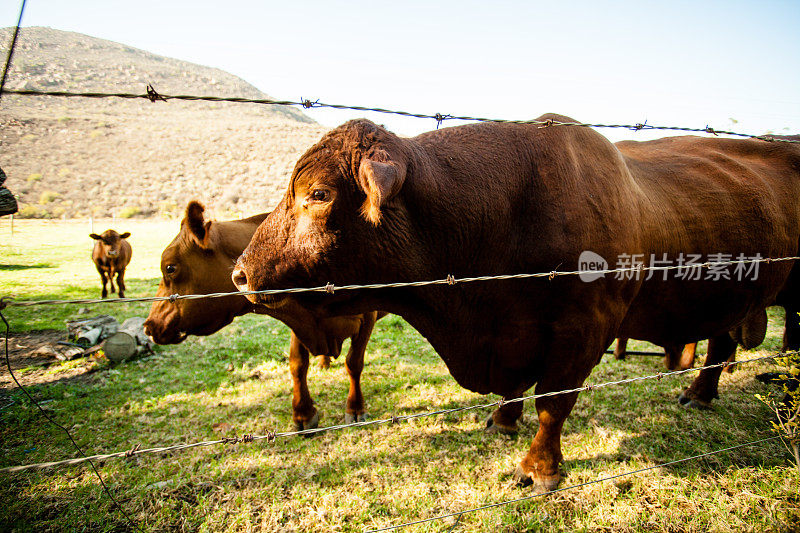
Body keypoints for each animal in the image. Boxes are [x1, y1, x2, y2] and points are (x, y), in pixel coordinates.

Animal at [143, 202, 382, 430]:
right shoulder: (300, 321)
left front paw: (355, 408)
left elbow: (353, 363)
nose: (148, 326)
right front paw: (303, 413)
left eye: (170, 268)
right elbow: (297, 364)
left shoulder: (367, 316)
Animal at [231, 116, 800, 490]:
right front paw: (503, 420)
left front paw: (539, 469)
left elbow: (553, 403)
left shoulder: (582, 331)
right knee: (721, 341)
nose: (239, 273)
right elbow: (518, 390)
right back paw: (700, 394)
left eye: (319, 194)